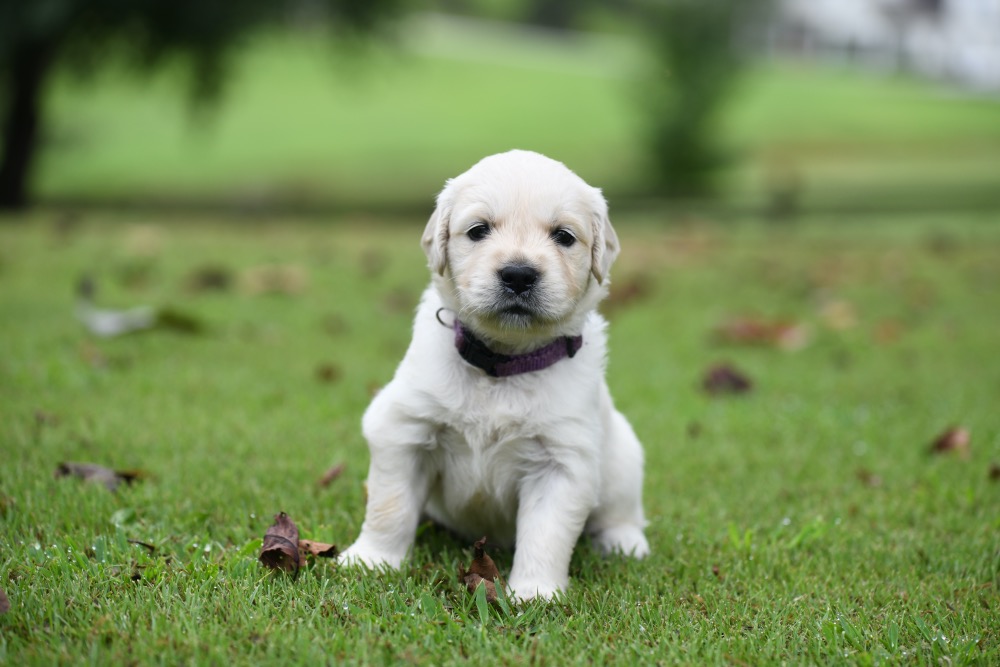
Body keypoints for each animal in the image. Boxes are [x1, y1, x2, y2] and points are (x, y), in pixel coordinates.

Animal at [340, 151, 652, 600]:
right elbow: (390, 504)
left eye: (564, 236)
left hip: (624, 456)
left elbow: (546, 533)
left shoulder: (562, 462)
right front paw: (372, 560)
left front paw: (535, 592)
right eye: (478, 230)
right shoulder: (403, 429)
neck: (502, 364)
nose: (519, 274)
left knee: (621, 512)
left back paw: (624, 542)